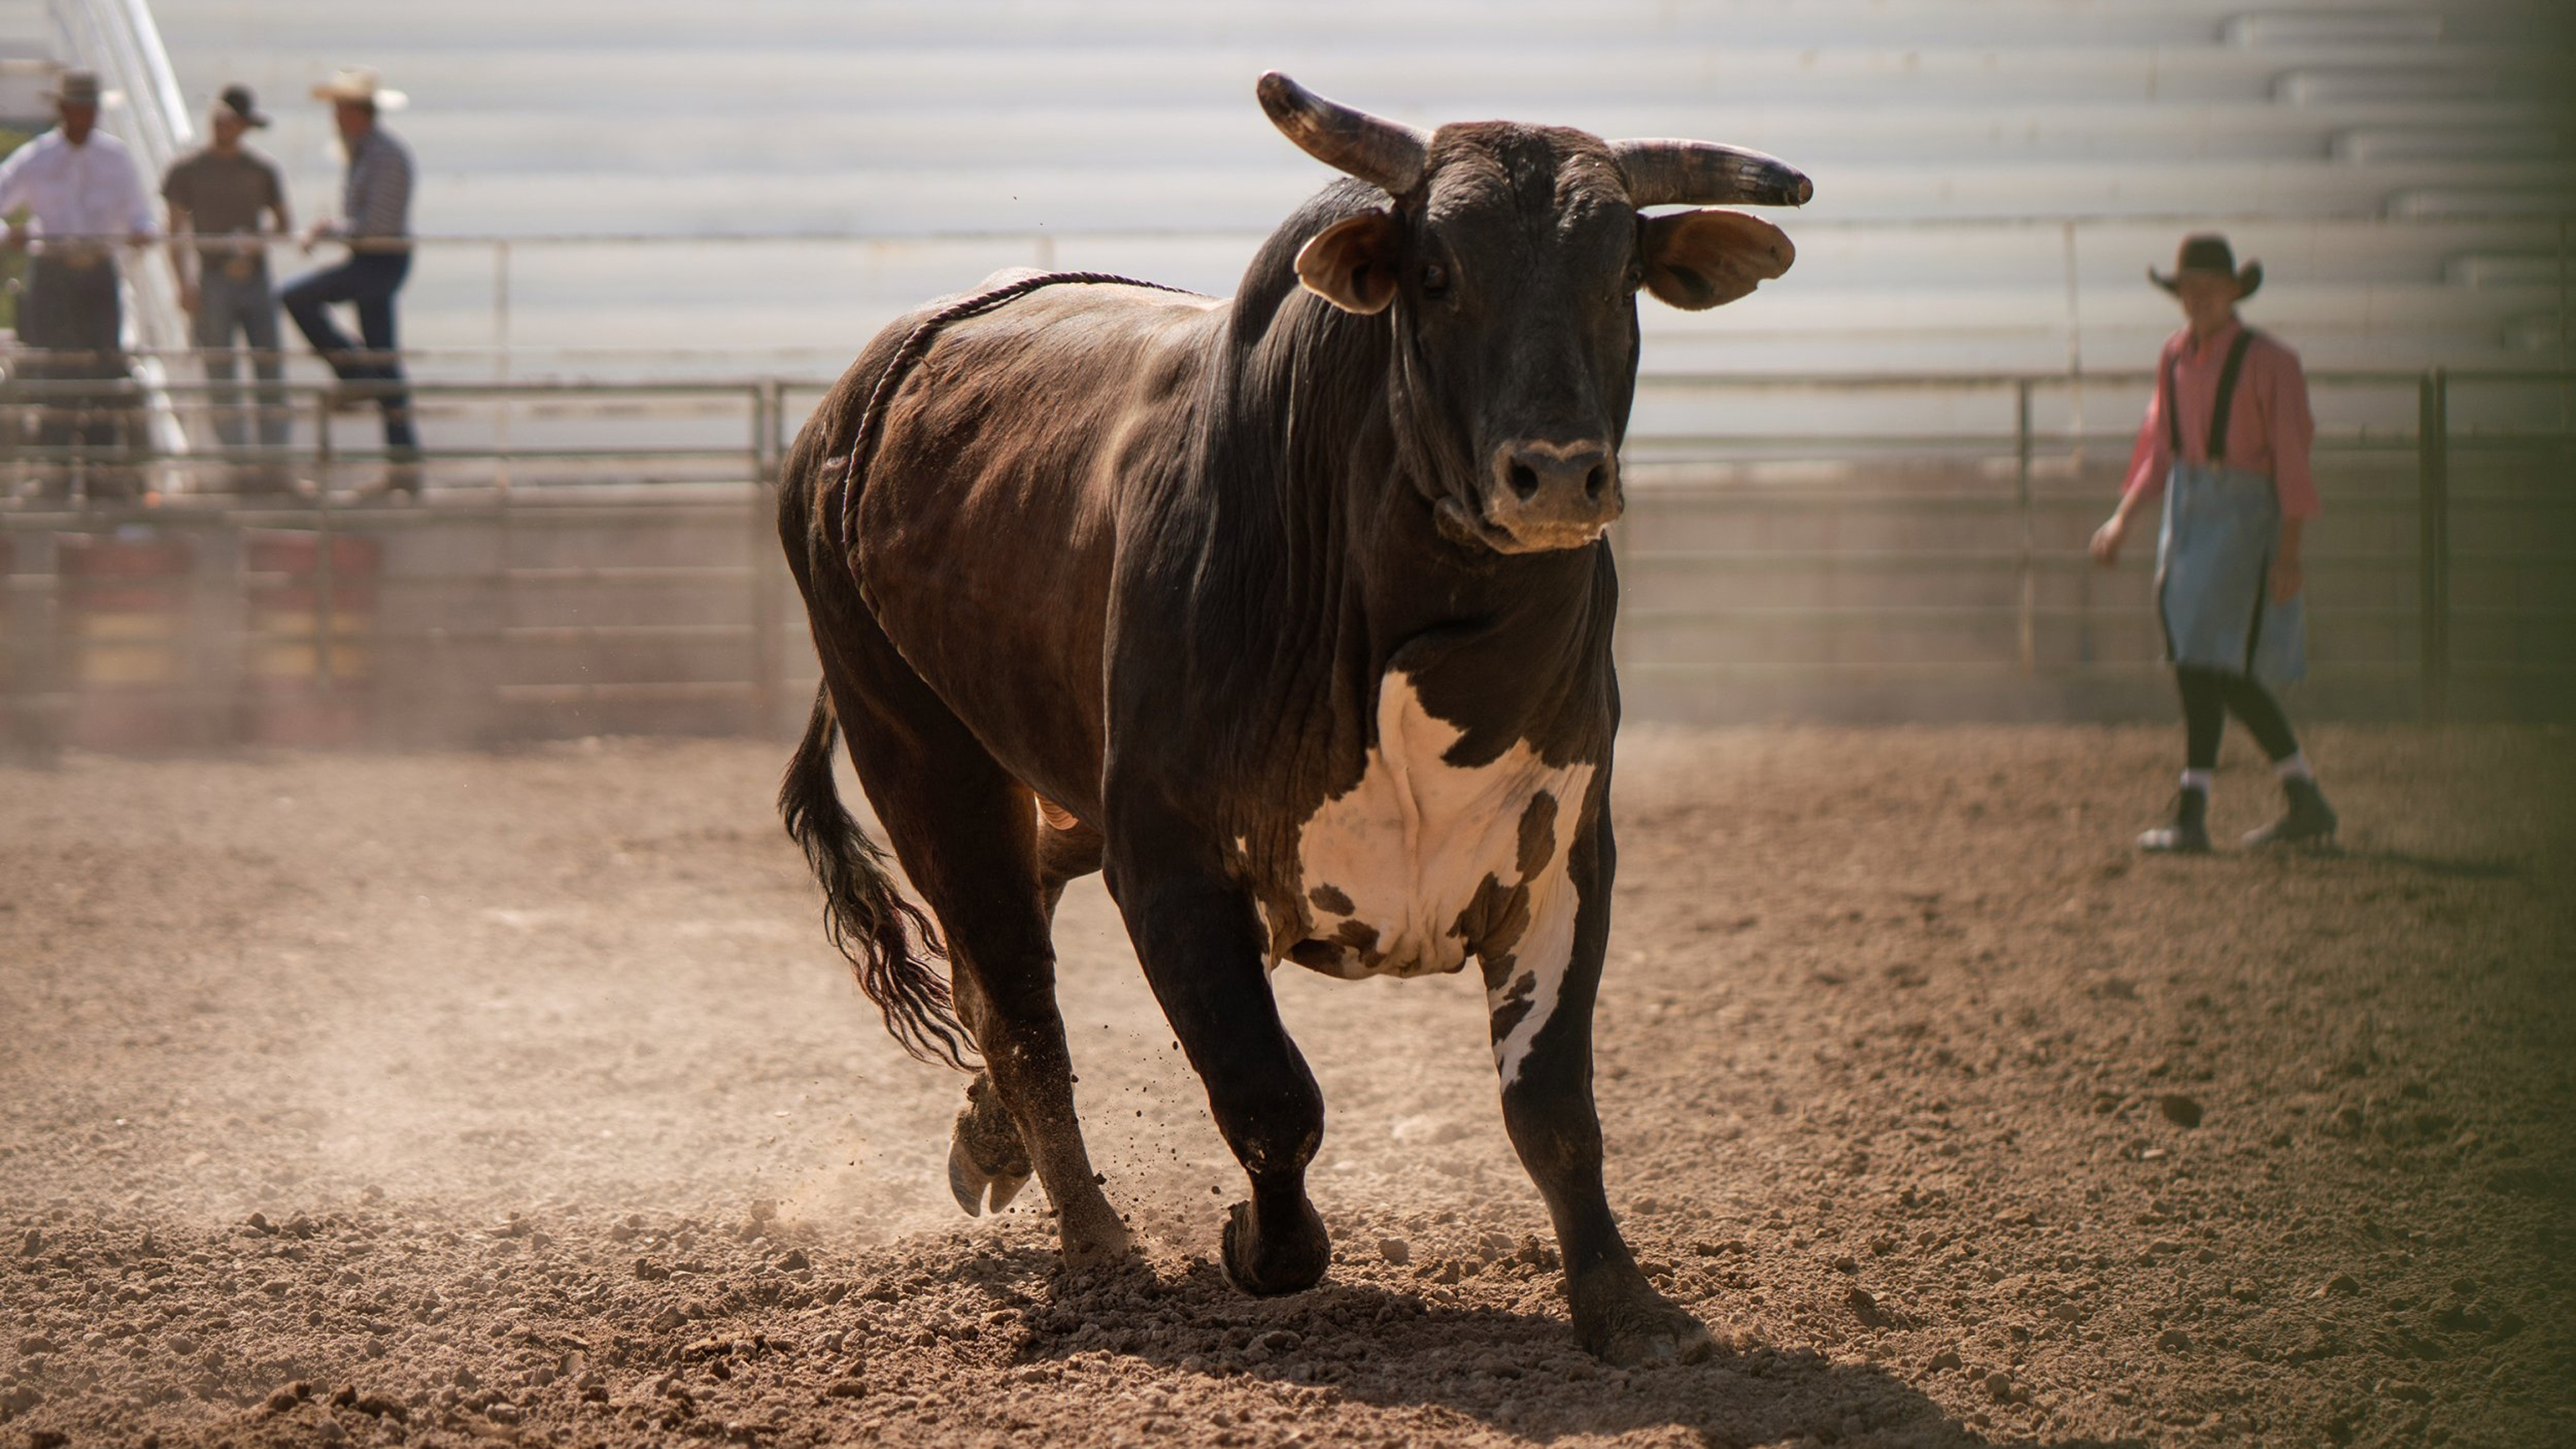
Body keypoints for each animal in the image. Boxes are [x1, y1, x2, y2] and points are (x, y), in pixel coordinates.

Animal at [776, 73, 1806, 1365]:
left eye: (1620, 269)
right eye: (1436, 273)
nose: (1560, 475)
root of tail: (852, 410)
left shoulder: (1566, 856)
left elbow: (1553, 1107)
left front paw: (1625, 1303)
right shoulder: (1170, 864)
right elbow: (1270, 1096)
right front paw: (1261, 1249)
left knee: (1010, 944)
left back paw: (992, 1144)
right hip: (920, 754)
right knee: (1017, 1008)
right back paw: (1101, 1250)